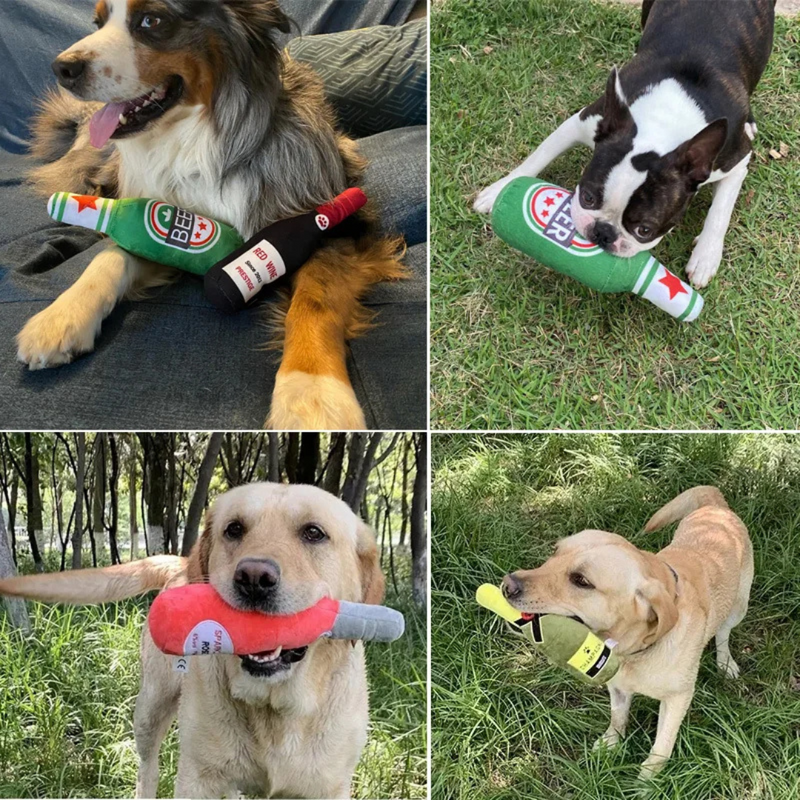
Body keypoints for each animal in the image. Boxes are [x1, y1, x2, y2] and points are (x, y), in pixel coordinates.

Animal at [0, 482, 388, 800]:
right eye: (234, 529)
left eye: (313, 533)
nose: (253, 578)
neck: (273, 710)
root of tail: (182, 564)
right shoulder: (197, 777)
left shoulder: (328, 786)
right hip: (151, 707)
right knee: (147, 769)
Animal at [17, 0, 406, 432]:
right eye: (98, 22)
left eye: (152, 20)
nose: (61, 68)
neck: (201, 138)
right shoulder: (165, 223)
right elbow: (110, 256)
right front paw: (61, 316)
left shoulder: (332, 224)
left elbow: (315, 298)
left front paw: (312, 392)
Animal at [476, 0, 776, 288]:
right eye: (587, 197)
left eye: (644, 230)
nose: (603, 232)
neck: (664, 122)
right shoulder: (585, 122)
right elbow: (539, 155)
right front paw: (498, 190)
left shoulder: (736, 161)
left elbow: (720, 212)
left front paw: (705, 257)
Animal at [504, 488, 752, 780]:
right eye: (554, 552)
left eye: (581, 581)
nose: (507, 585)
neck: (633, 652)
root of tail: (716, 506)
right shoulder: (618, 687)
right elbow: (617, 717)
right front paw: (611, 743)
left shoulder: (678, 699)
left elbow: (661, 746)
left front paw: (647, 780)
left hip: (738, 606)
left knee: (723, 633)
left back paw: (726, 663)